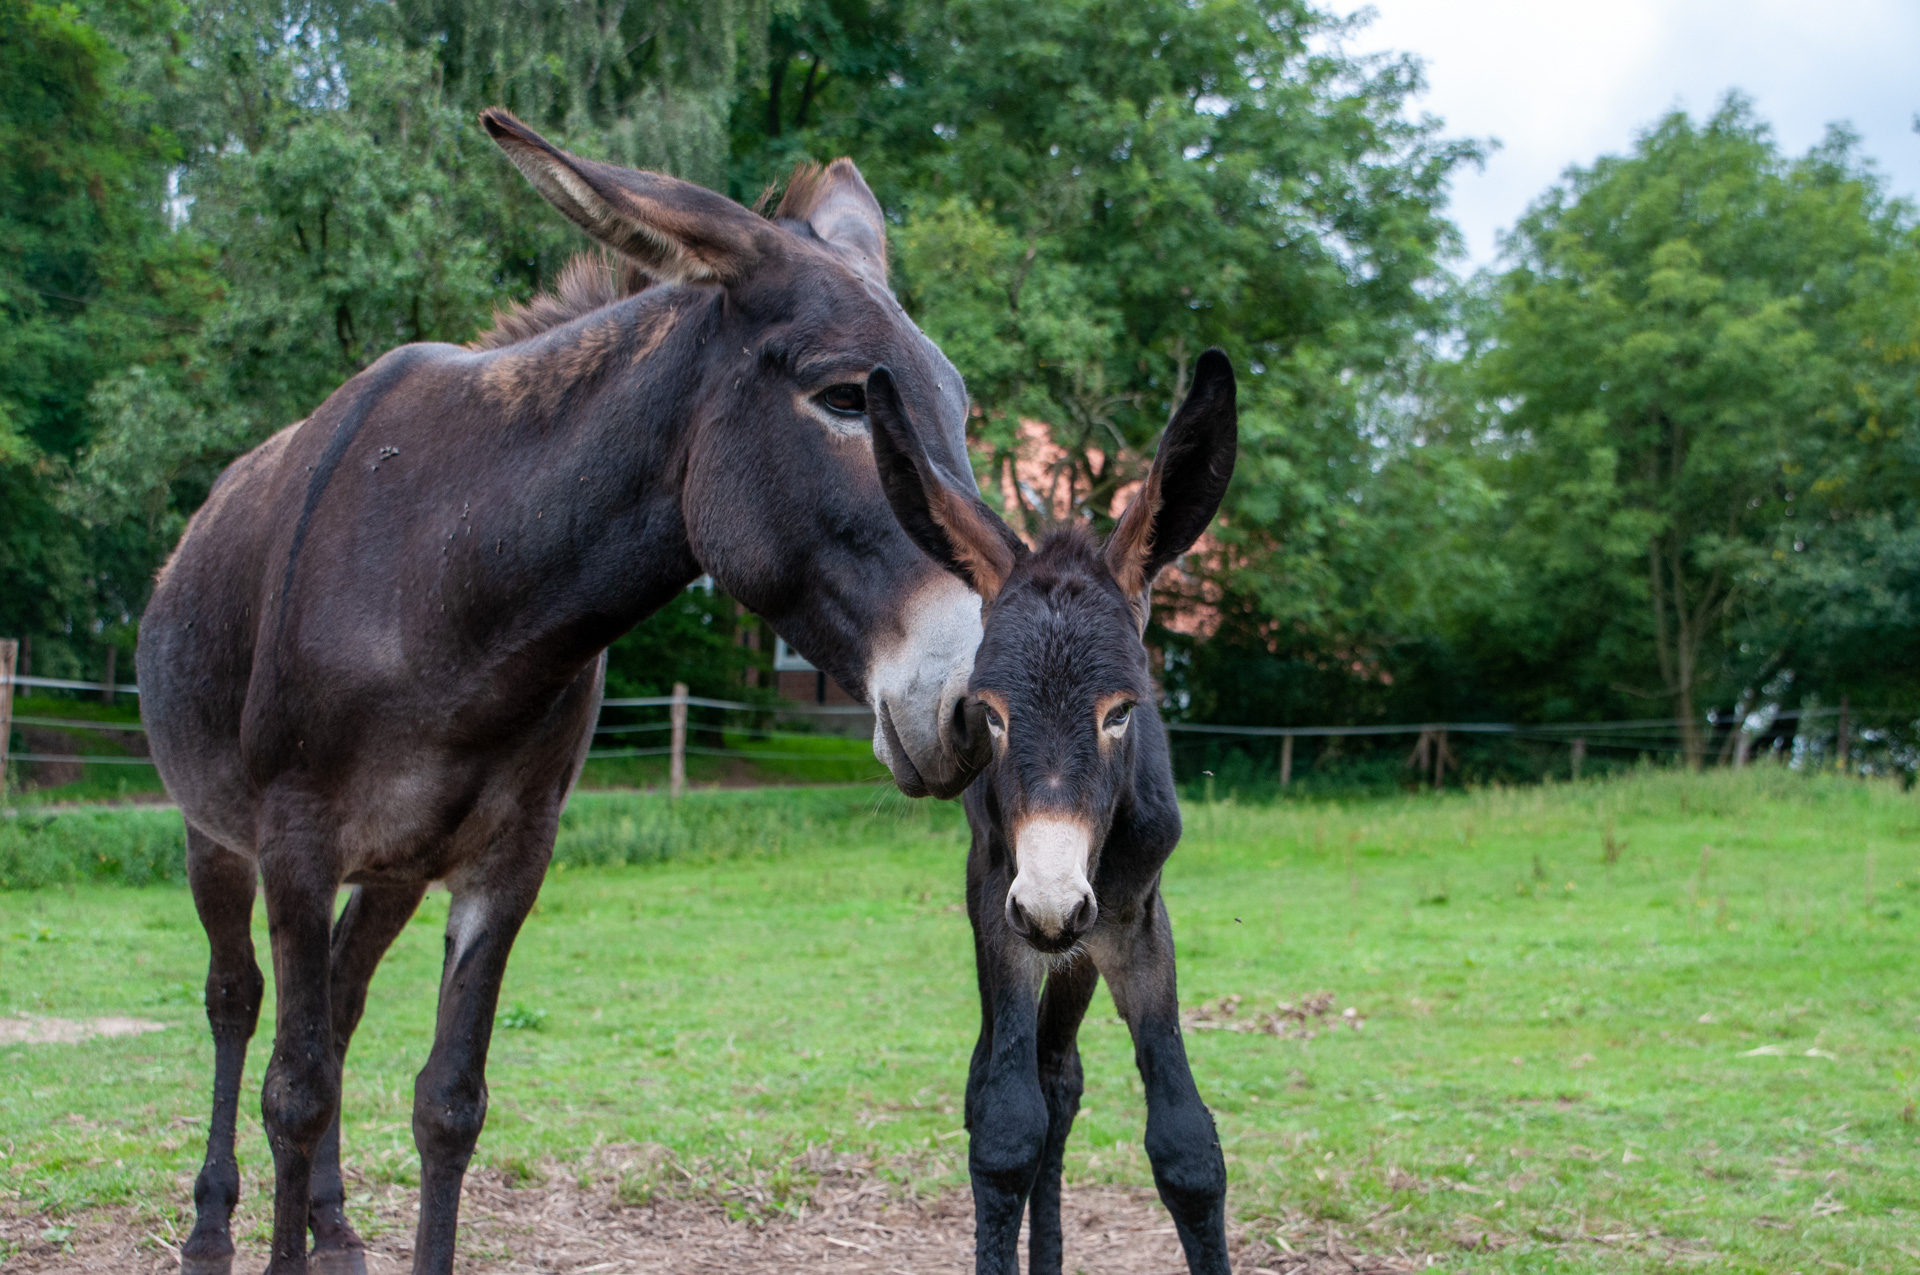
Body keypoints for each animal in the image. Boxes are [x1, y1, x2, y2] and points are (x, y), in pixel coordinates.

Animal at [140, 111, 998, 1275]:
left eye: (961, 410)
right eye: (845, 399)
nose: (979, 709)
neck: (457, 578)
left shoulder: (511, 854)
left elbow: (447, 1103)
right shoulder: (296, 840)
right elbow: (296, 1091)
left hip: (398, 864)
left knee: (344, 999)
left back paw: (335, 1225)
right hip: (215, 836)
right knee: (237, 1005)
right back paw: (209, 1225)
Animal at [875, 351, 1244, 1275]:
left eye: (1121, 712)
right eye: (992, 713)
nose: (1051, 904)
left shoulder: (1135, 918)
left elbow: (1187, 1146)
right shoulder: (1002, 907)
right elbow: (1005, 1128)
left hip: (1081, 943)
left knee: (1059, 1075)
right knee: (1005, 1082)